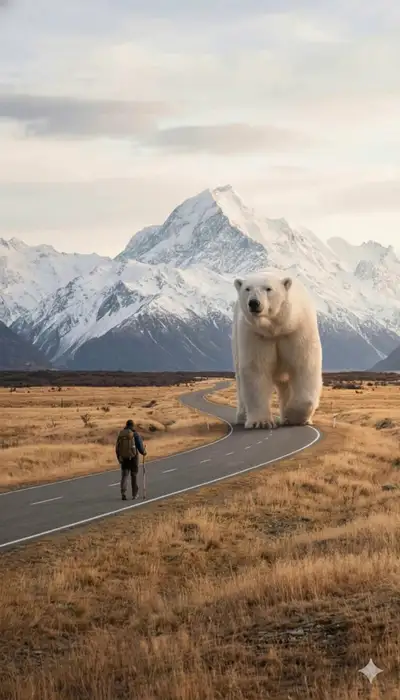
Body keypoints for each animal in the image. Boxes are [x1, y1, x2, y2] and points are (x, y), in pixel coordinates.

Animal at [231, 269, 322, 429]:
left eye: (268, 288)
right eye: (247, 289)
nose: (254, 303)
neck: (276, 328)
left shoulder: (297, 331)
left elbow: (305, 366)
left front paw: (292, 415)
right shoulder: (257, 335)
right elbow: (256, 370)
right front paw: (261, 422)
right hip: (236, 339)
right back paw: (242, 417)